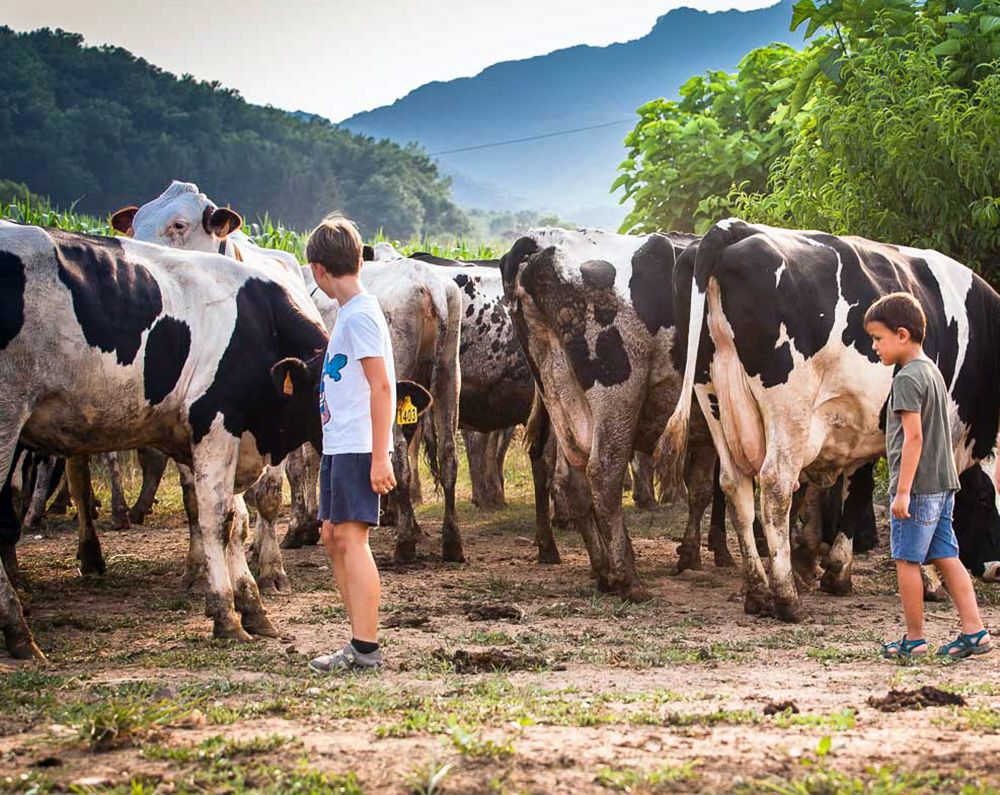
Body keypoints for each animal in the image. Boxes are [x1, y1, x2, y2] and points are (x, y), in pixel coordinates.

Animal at [0, 222, 422, 660]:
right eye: (329, 392)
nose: (379, 460)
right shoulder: (215, 426)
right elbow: (217, 520)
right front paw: (226, 615)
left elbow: (236, 522)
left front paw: (252, 607)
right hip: (8, 414)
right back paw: (19, 630)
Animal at [656, 218, 1000, 620]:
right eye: (983, 498)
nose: (996, 568)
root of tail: (733, 227)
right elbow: (905, 493)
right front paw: (923, 579)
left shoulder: (858, 430)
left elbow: (846, 488)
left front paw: (825, 566)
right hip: (788, 410)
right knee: (774, 486)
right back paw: (786, 598)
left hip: (715, 399)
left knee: (734, 485)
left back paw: (758, 592)